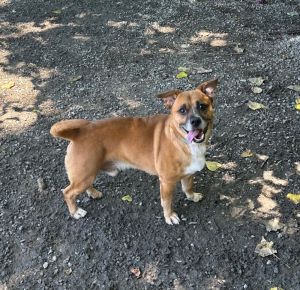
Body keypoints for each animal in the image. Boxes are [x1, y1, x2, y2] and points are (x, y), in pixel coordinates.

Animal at [50, 78, 217, 224]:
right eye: (182, 110)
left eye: (202, 106)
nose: (195, 121)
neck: (182, 140)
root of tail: (78, 132)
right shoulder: (167, 182)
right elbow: (167, 202)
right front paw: (169, 216)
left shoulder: (188, 174)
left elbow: (188, 187)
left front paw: (192, 196)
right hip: (84, 174)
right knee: (68, 192)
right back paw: (75, 211)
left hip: (87, 175)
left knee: (85, 186)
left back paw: (93, 193)